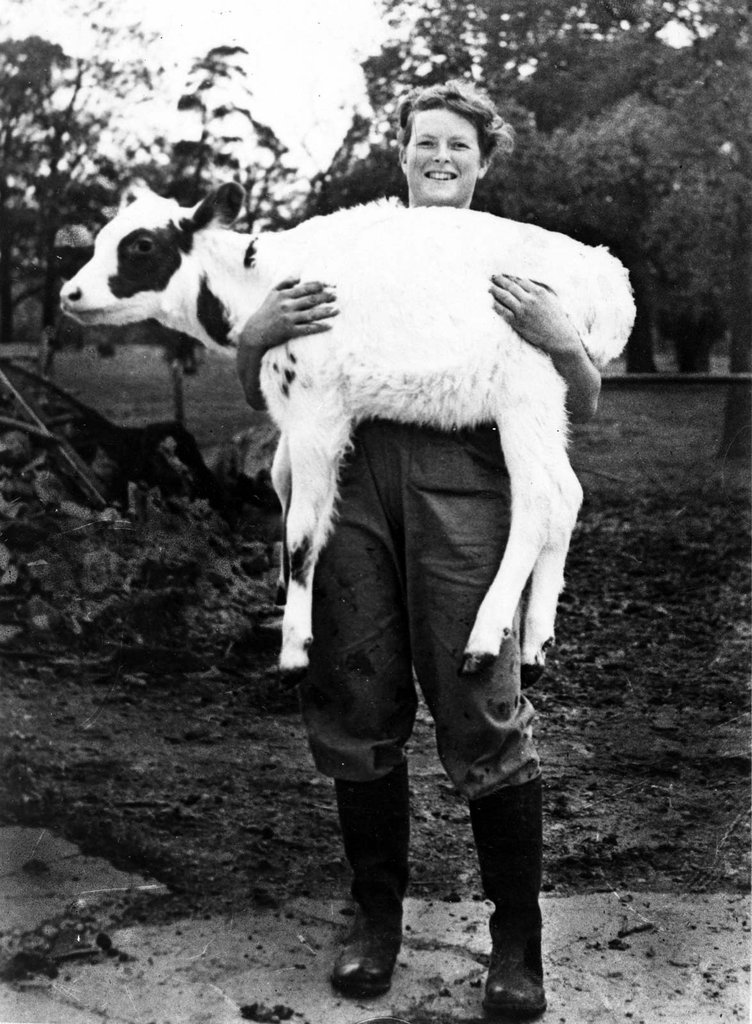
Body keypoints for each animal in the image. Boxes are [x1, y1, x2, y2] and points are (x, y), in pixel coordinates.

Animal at [61, 184, 635, 679]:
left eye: (140, 244)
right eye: (102, 236)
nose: (70, 293)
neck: (263, 284)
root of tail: (605, 272)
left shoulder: (317, 410)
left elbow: (302, 526)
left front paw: (295, 646)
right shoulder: (291, 412)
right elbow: (280, 481)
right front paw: (279, 592)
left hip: (525, 389)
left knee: (539, 497)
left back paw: (485, 637)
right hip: (551, 398)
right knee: (568, 493)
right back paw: (536, 641)